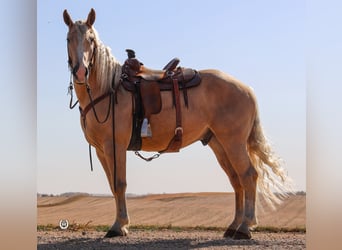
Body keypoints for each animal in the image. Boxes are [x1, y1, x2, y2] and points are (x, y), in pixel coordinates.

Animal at [62, 8, 290, 239]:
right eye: (68, 39)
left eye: (91, 39)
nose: (80, 71)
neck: (108, 89)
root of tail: (247, 89)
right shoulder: (101, 150)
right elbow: (112, 185)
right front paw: (122, 225)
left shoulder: (114, 145)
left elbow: (119, 184)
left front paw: (119, 226)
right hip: (219, 143)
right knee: (236, 180)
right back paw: (234, 226)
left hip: (233, 142)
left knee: (248, 176)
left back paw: (245, 227)